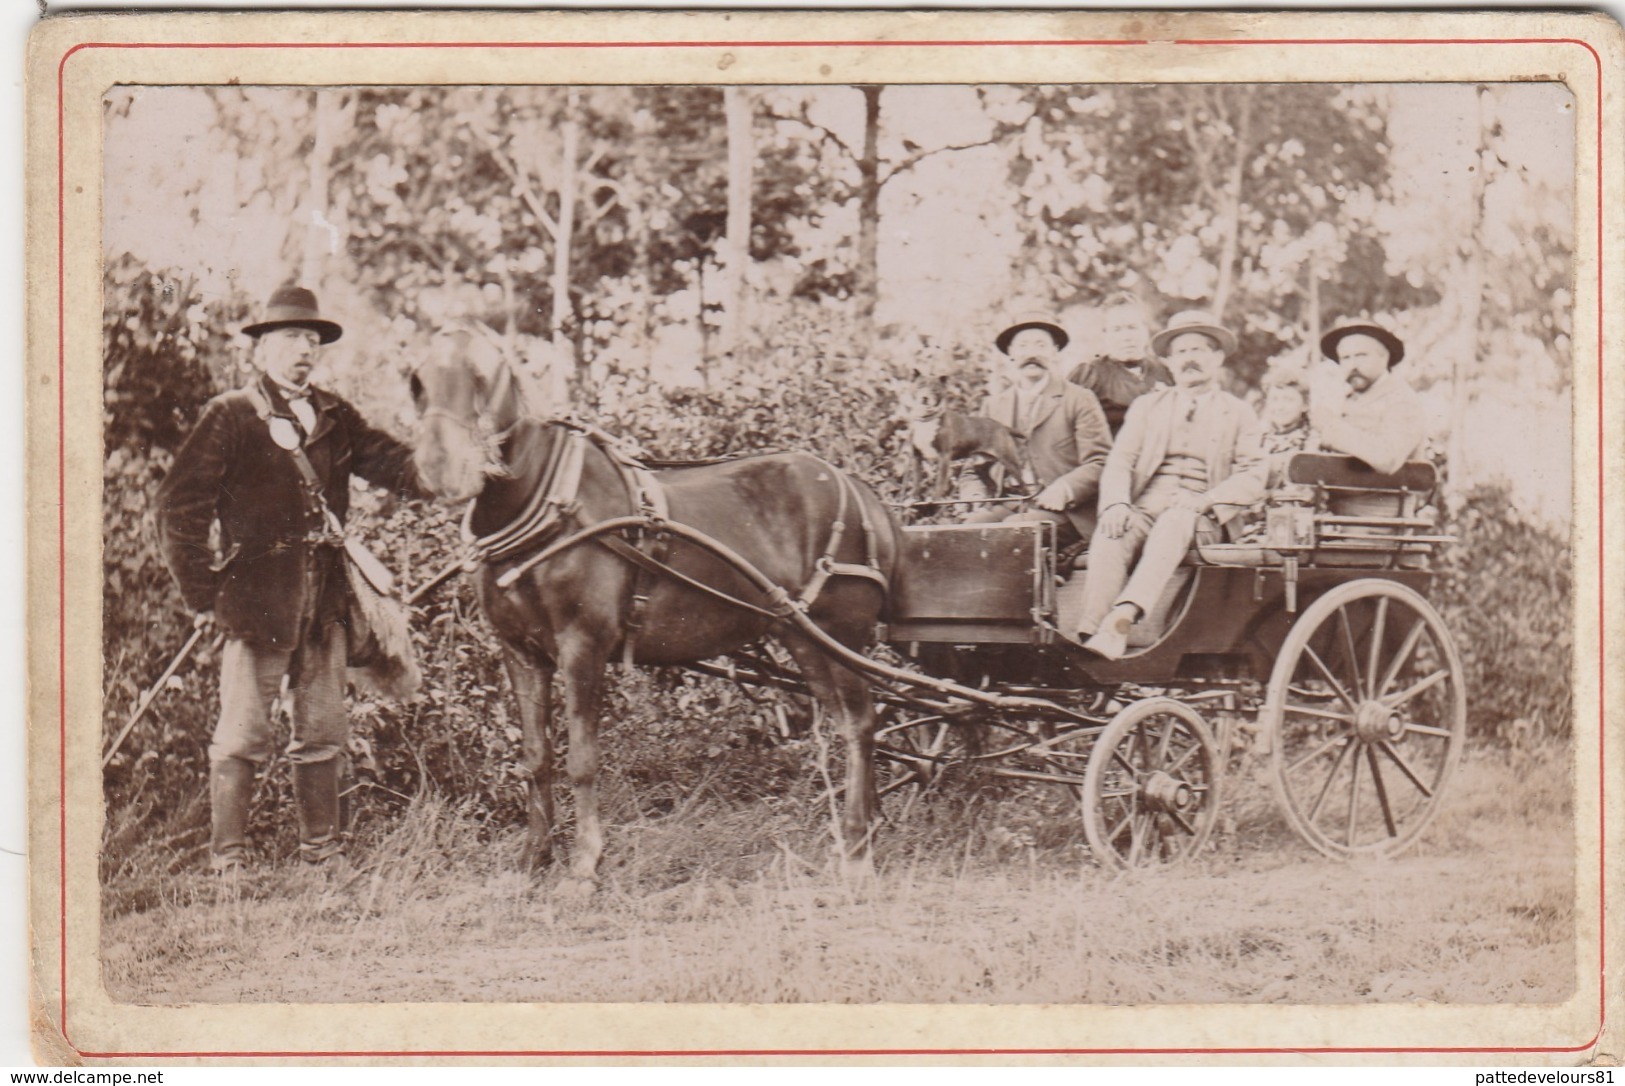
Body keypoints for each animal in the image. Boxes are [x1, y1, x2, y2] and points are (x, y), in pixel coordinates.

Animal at [406, 331, 903, 884]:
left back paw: (856, 849)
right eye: (416, 381)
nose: (439, 468)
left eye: (481, 377)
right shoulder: (520, 650)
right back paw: (869, 829)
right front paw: (534, 859)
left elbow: (582, 759)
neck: (550, 504)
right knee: (848, 723)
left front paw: (584, 864)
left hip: (839, 634)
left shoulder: (583, 645)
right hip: (803, 638)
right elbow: (536, 757)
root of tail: (861, 492)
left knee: (861, 724)